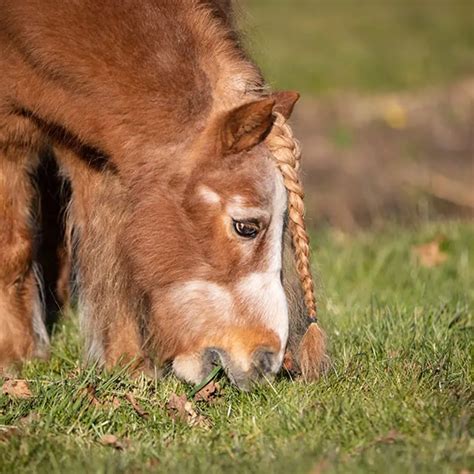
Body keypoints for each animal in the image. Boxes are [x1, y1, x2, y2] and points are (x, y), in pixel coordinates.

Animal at [0, 0, 328, 388]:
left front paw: (129, 366)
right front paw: (16, 356)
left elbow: (109, 253)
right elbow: (14, 251)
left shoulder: (94, 152)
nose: (268, 361)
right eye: (246, 226)